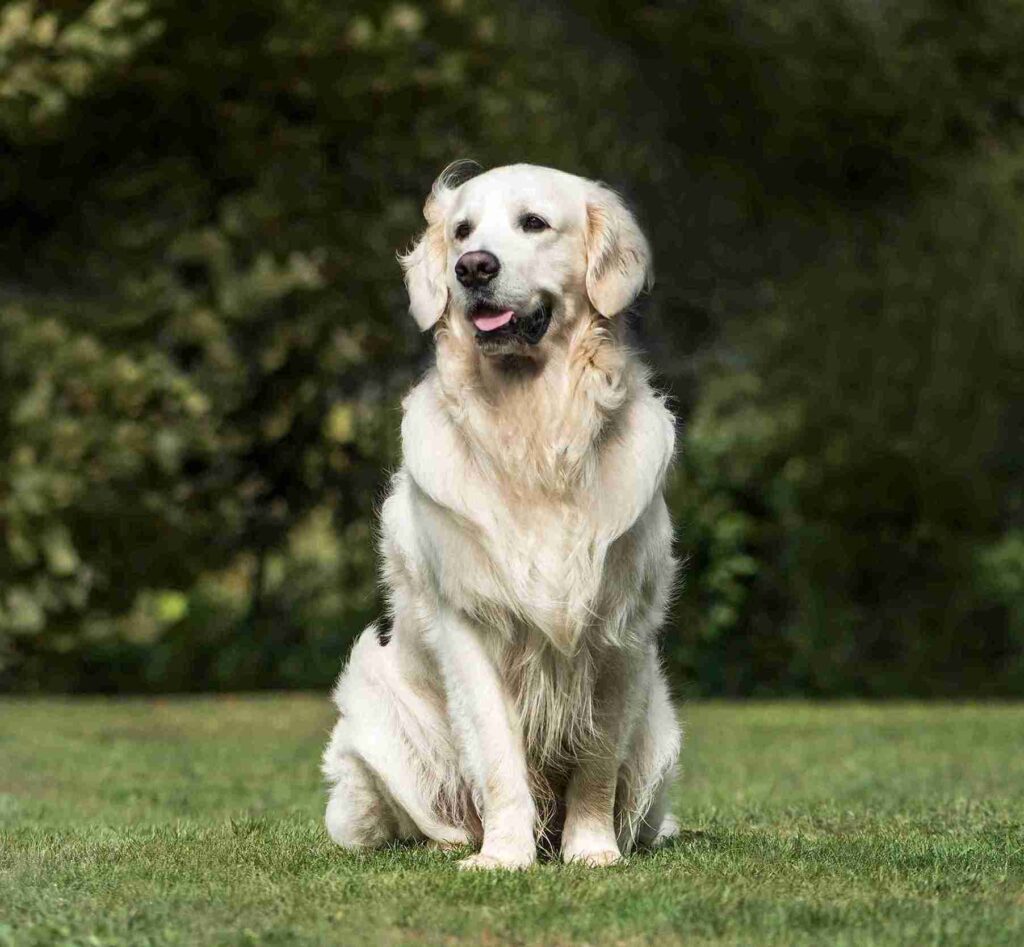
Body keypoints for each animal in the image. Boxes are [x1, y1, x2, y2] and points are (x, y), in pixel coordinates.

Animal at [321, 160, 679, 864]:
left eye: (533, 223)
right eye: (461, 230)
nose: (472, 267)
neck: (534, 434)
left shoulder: (622, 626)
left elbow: (597, 762)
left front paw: (591, 850)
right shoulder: (468, 622)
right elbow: (496, 753)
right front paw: (504, 856)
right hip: (368, 708)